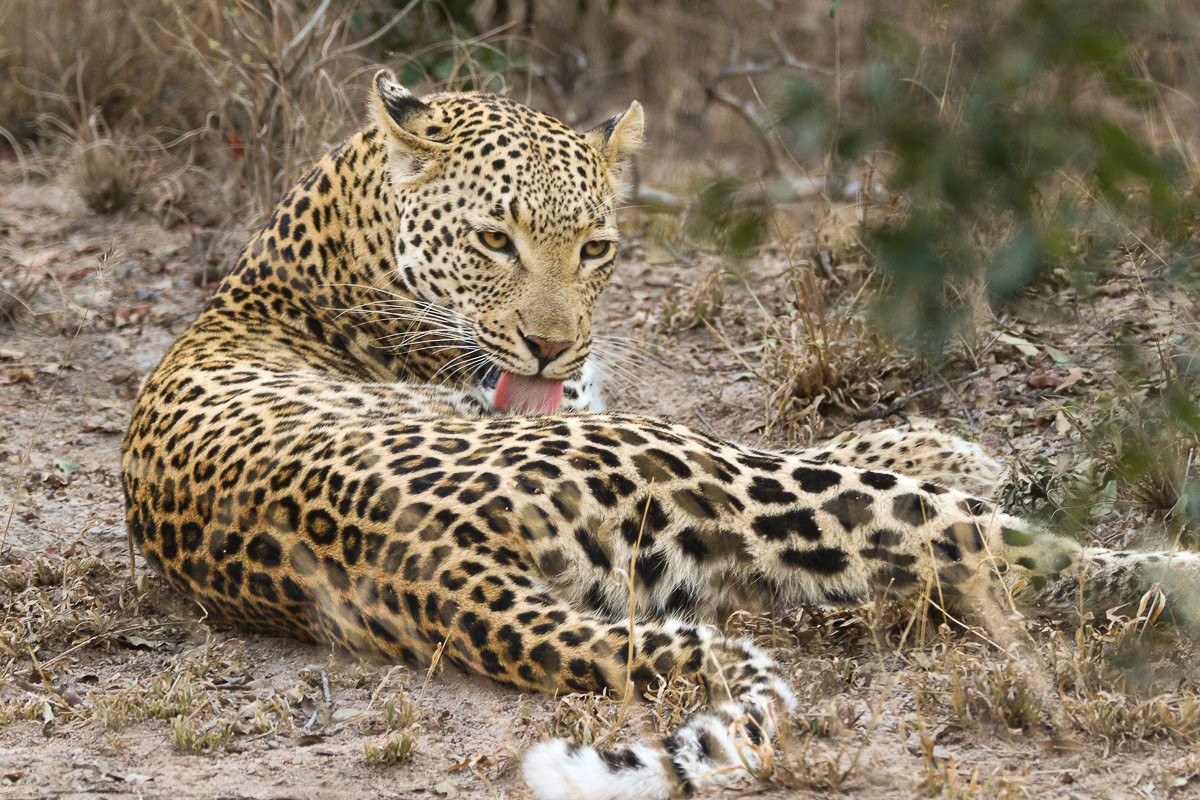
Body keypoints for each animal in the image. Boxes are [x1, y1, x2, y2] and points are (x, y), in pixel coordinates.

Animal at [121, 70, 1200, 800]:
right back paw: (1167, 570)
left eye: (595, 247)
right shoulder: (626, 423)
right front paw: (950, 450)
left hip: (696, 563)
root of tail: (421, 562)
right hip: (709, 487)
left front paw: (941, 440)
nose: (553, 344)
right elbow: (800, 443)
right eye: (494, 240)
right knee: (993, 547)